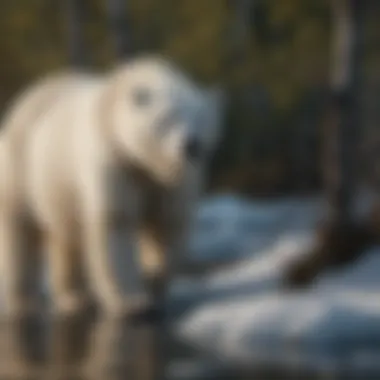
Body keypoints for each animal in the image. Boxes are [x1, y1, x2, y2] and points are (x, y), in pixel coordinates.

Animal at [0, 56, 224, 318]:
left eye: (201, 120)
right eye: (168, 118)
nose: (192, 145)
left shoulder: (175, 181)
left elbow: (166, 225)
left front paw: (152, 287)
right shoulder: (113, 159)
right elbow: (117, 222)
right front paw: (133, 303)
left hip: (58, 188)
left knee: (67, 237)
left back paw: (74, 297)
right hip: (22, 164)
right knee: (20, 228)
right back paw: (23, 303)